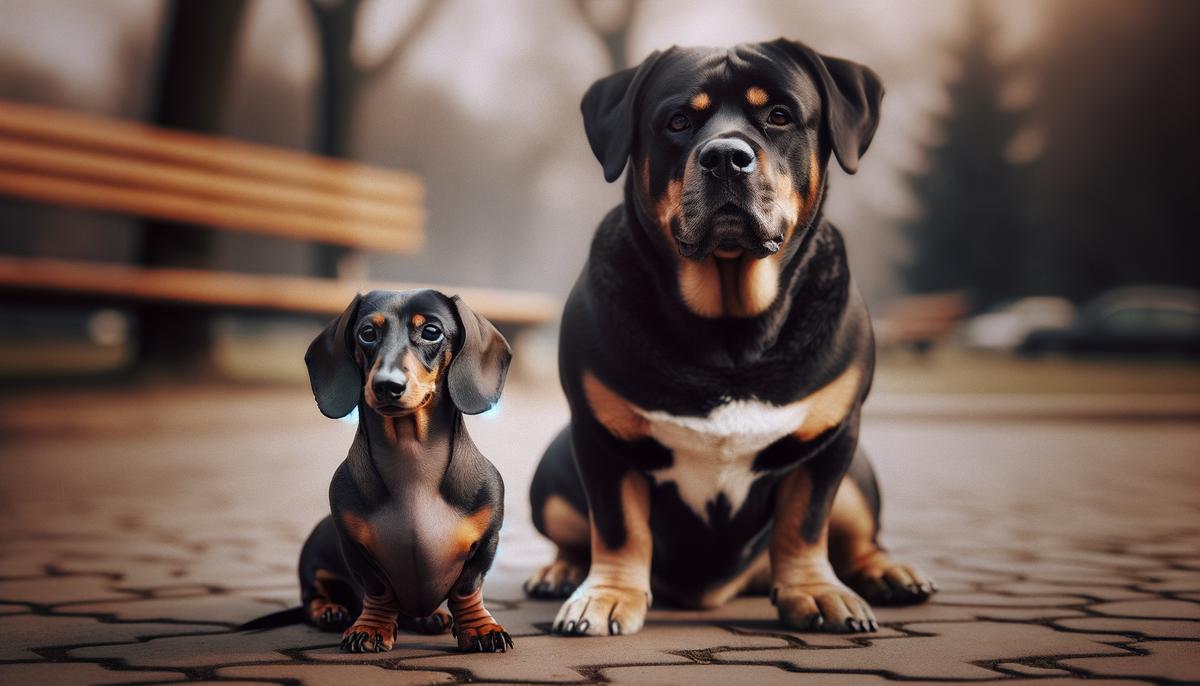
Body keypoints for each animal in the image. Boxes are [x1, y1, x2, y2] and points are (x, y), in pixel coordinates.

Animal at [528, 40, 936, 633]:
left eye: (780, 115)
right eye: (678, 121)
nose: (724, 155)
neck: (729, 329)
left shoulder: (831, 439)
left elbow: (805, 522)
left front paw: (815, 592)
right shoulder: (601, 437)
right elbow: (619, 527)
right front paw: (606, 596)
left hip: (859, 479)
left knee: (857, 535)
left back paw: (887, 572)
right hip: (551, 477)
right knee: (574, 534)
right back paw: (560, 571)